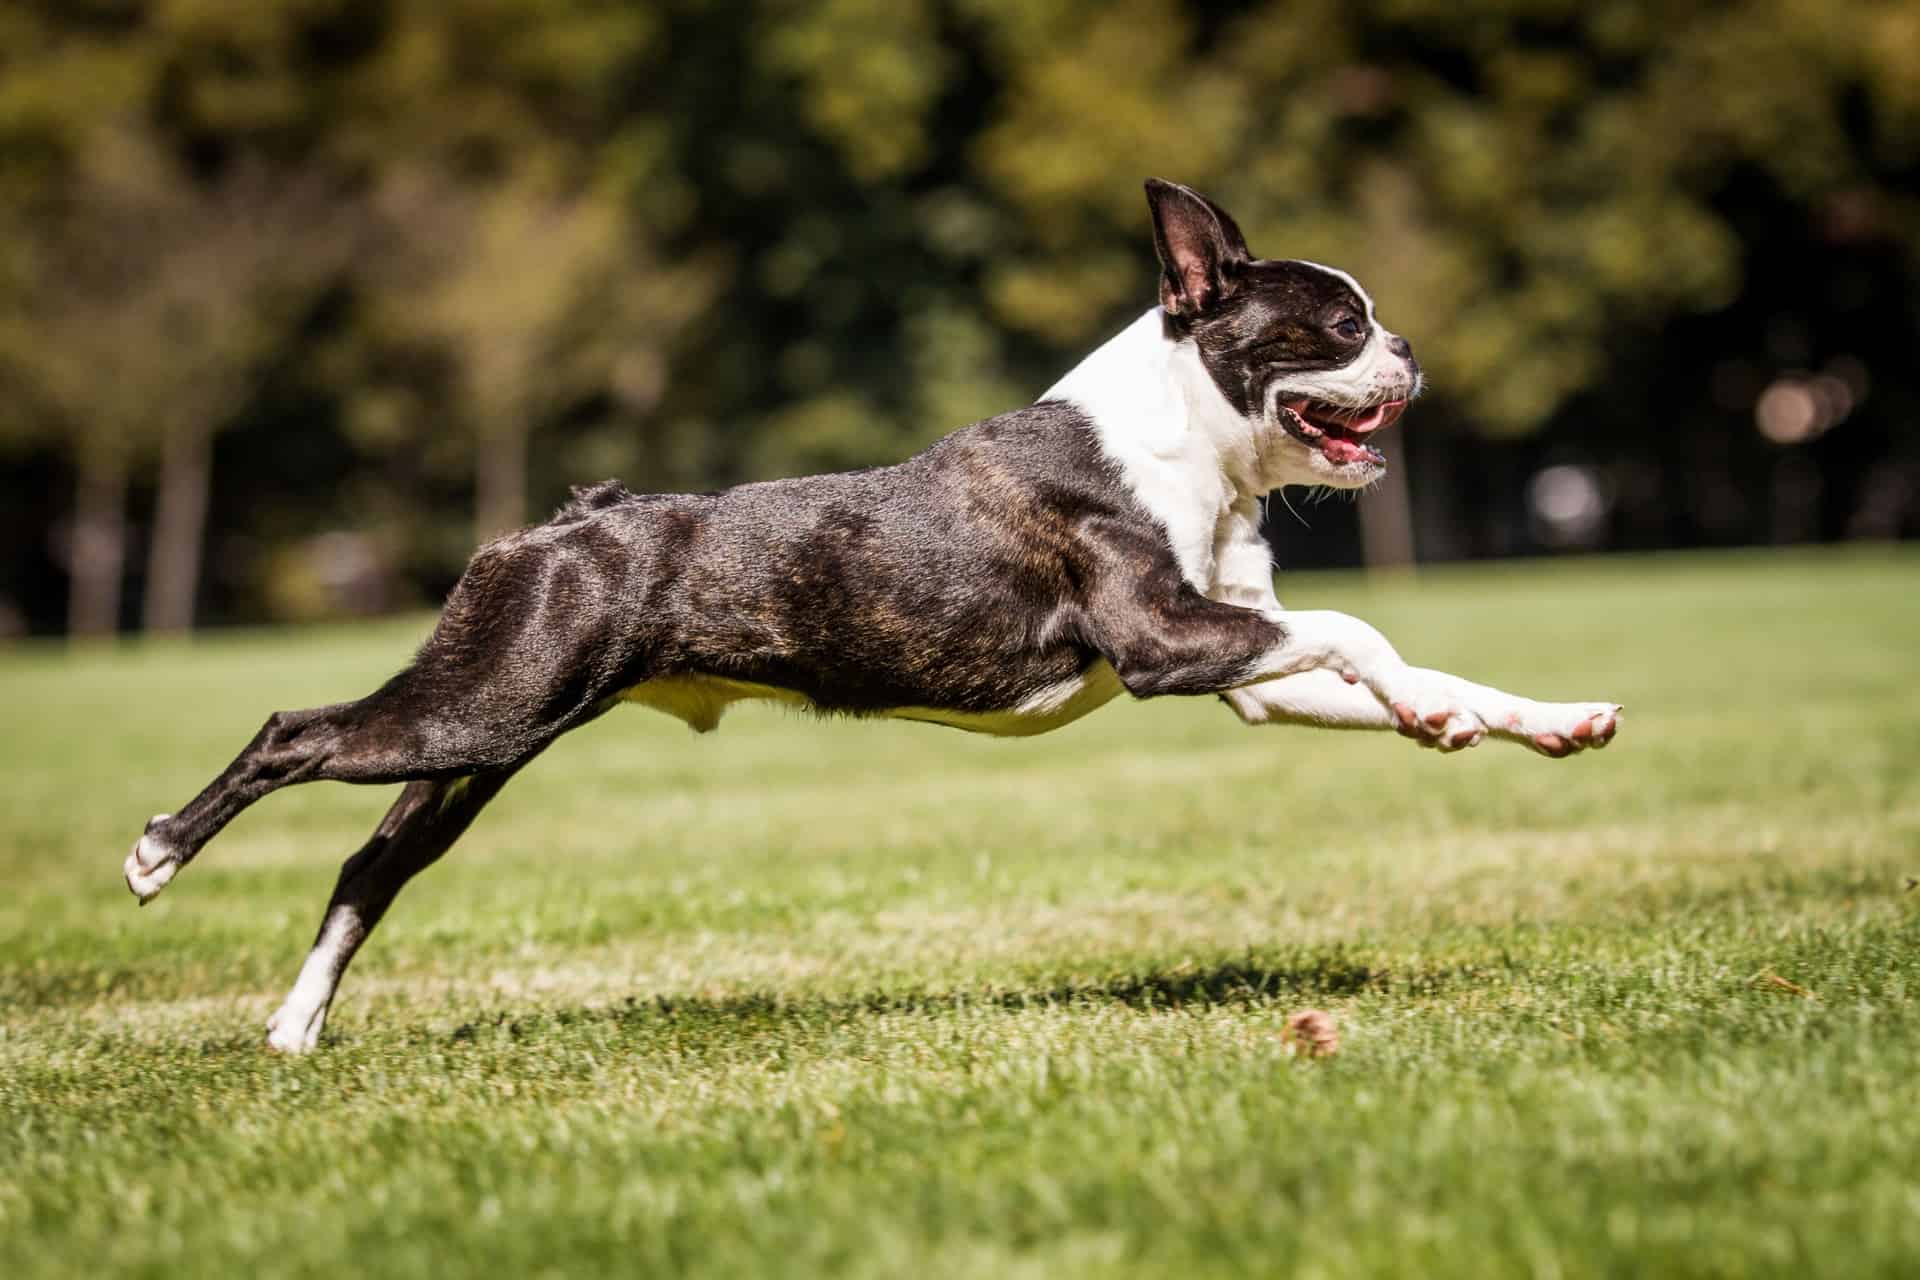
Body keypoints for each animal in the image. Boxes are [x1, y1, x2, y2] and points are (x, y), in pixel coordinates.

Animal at [123, 182, 1620, 1059]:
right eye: (1339, 325)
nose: (1412, 347)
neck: (1190, 440)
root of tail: (569, 517)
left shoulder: (1241, 660)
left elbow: (1402, 653)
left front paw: (1527, 719)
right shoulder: (1162, 645)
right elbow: (1361, 630)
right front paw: (1429, 709)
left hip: (487, 733)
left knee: (369, 863)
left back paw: (296, 1026)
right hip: (481, 703)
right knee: (294, 730)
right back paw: (157, 852)